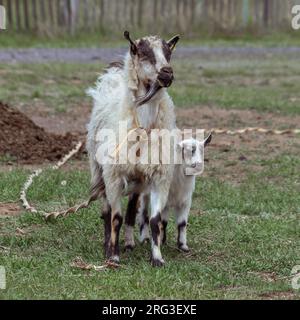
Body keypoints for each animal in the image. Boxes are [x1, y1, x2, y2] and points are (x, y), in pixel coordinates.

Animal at [86, 31, 180, 266]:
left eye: (168, 53)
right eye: (143, 53)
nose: (167, 73)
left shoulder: (158, 176)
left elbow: (154, 220)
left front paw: (157, 258)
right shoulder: (113, 174)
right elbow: (115, 217)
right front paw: (113, 256)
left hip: (138, 180)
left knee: (131, 210)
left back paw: (129, 243)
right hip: (98, 169)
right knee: (107, 211)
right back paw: (108, 245)